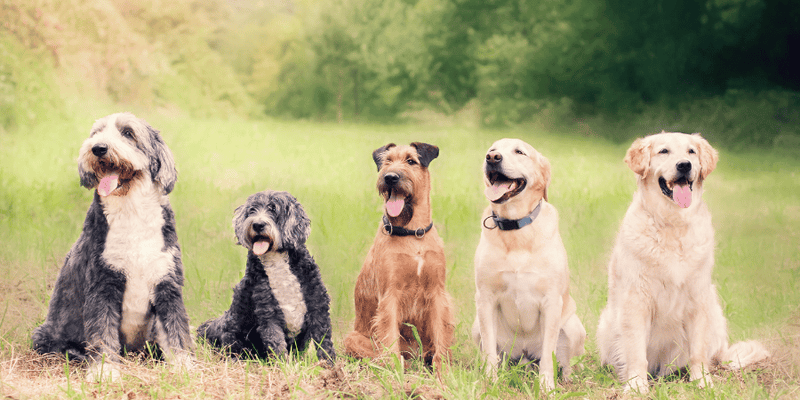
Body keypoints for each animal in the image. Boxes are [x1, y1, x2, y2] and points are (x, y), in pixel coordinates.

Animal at [31, 112, 195, 382]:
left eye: (128, 133)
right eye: (96, 133)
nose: (98, 148)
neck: (132, 212)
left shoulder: (166, 283)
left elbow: (176, 330)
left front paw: (184, 367)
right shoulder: (103, 284)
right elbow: (102, 333)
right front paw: (105, 372)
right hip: (43, 335)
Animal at [200, 191, 338, 362]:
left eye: (273, 209)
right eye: (252, 210)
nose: (258, 224)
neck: (276, 260)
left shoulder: (318, 305)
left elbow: (324, 340)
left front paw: (330, 364)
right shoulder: (268, 312)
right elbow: (276, 342)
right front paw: (283, 365)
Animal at [344, 142, 454, 374]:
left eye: (411, 161)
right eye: (387, 161)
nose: (390, 177)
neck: (413, 234)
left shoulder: (437, 293)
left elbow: (441, 336)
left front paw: (444, 373)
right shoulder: (390, 295)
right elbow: (389, 337)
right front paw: (396, 372)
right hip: (353, 338)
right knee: (376, 353)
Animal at [468, 138, 588, 390]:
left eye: (519, 152)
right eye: (492, 150)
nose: (492, 158)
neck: (516, 229)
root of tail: (523, 356)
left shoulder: (551, 301)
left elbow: (548, 354)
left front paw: (546, 387)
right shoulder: (485, 297)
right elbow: (490, 351)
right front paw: (490, 381)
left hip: (573, 326)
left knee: (567, 361)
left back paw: (568, 378)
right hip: (477, 326)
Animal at [596, 130, 772, 390]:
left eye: (691, 151)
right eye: (664, 151)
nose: (684, 165)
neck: (672, 223)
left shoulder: (697, 297)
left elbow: (698, 351)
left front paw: (703, 381)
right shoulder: (636, 299)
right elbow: (636, 351)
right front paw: (637, 385)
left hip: (714, 312)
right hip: (606, 323)